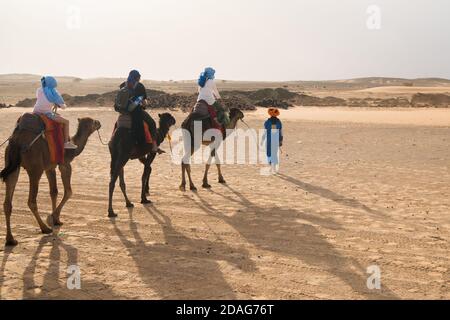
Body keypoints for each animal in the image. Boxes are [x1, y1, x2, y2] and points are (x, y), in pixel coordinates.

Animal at [0, 116, 101, 246]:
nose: (99, 123)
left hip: (11, 164)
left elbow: (54, 192)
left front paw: (56, 220)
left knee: (8, 202)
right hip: (35, 168)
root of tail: (17, 141)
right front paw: (53, 217)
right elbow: (68, 192)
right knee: (31, 201)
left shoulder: (50, 167)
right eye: (94, 122)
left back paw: (10, 239)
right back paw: (45, 228)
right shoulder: (65, 164)